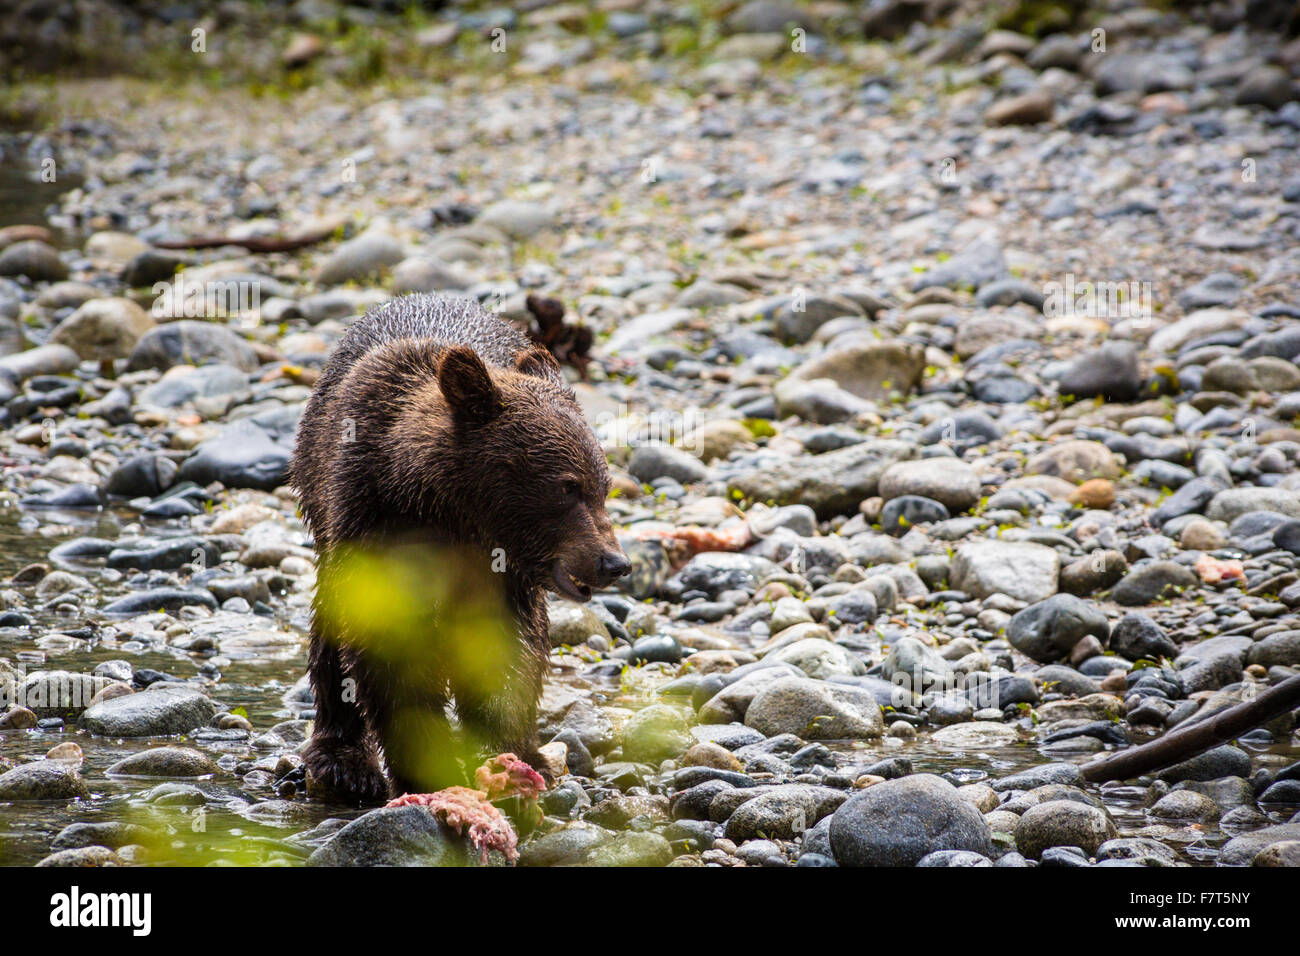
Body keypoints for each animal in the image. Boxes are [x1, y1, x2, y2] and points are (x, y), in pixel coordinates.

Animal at [288, 291, 629, 801]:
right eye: (567, 487)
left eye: (603, 488)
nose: (613, 562)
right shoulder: (372, 516)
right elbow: (387, 645)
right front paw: (427, 764)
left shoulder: (502, 571)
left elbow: (505, 646)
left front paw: (506, 755)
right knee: (329, 630)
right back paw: (342, 759)